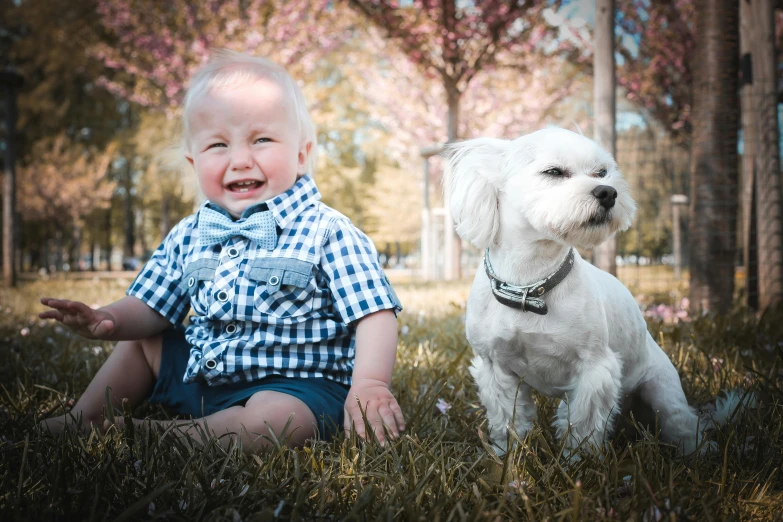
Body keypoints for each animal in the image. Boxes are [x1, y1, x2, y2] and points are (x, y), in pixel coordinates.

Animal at [448, 127, 740, 456]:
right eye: (554, 172)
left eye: (602, 172)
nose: (607, 192)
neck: (530, 283)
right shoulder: (495, 369)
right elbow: (508, 421)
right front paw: (506, 455)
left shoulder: (594, 369)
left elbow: (584, 424)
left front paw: (578, 460)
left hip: (662, 394)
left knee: (683, 425)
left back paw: (696, 450)